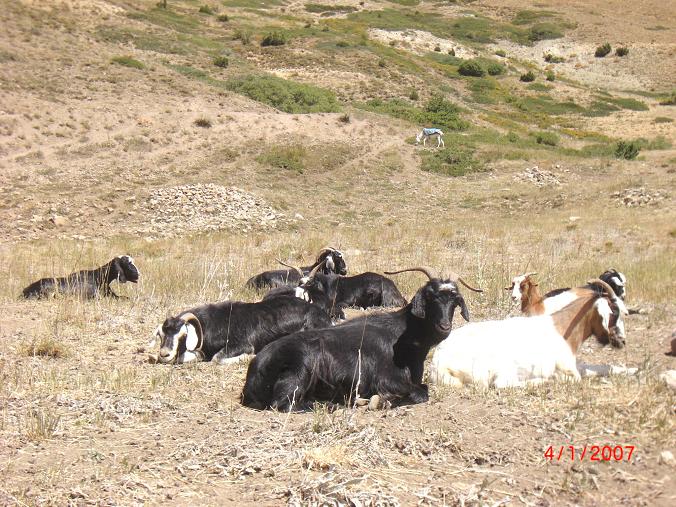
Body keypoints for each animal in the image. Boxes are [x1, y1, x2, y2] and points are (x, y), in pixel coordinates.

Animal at [152, 296, 332, 365]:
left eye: (183, 334)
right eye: (161, 335)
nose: (164, 354)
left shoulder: (242, 344)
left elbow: (217, 358)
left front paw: (248, 357)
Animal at [241, 267, 483, 411]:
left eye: (455, 301)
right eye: (430, 297)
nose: (444, 326)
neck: (404, 336)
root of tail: (255, 369)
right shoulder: (387, 378)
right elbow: (420, 393)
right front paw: (381, 400)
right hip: (299, 370)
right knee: (283, 404)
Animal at [430, 279, 627, 388]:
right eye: (614, 312)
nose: (621, 341)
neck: (562, 326)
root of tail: (438, 361)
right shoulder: (567, 368)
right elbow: (578, 378)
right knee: (500, 384)